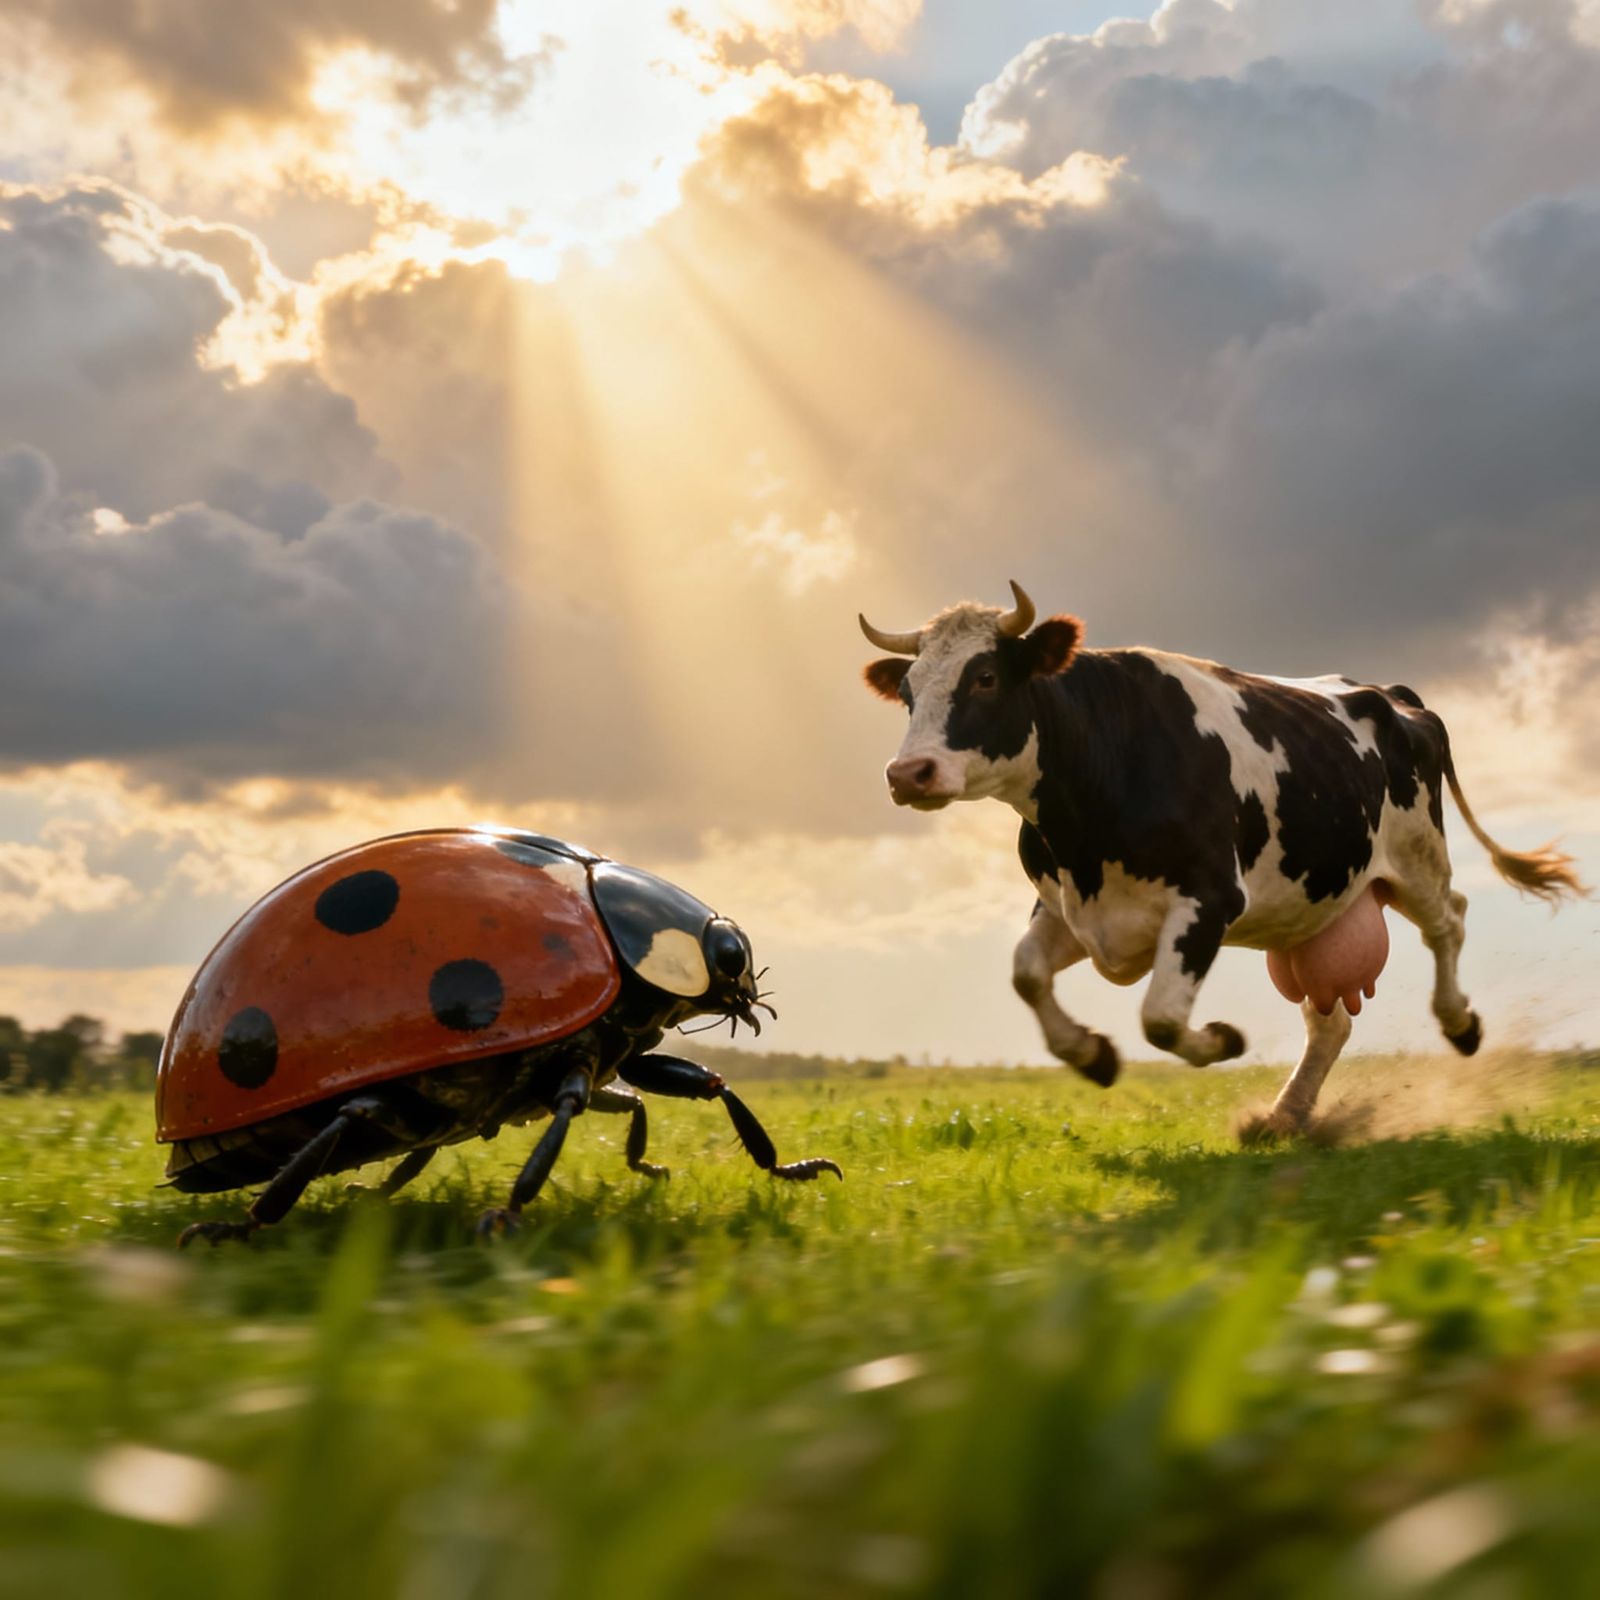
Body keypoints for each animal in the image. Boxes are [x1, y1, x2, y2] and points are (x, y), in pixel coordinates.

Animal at [858, 582, 1586, 1136]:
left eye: (984, 677)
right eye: (909, 692)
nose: (907, 773)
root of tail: (1389, 693)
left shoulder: (1207, 900)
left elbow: (1159, 1017)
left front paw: (1221, 1041)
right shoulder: (1067, 905)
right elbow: (1026, 974)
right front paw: (1091, 1056)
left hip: (1415, 857)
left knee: (1449, 922)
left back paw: (1459, 1023)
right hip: (1308, 913)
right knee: (1329, 1022)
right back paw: (1284, 1117)